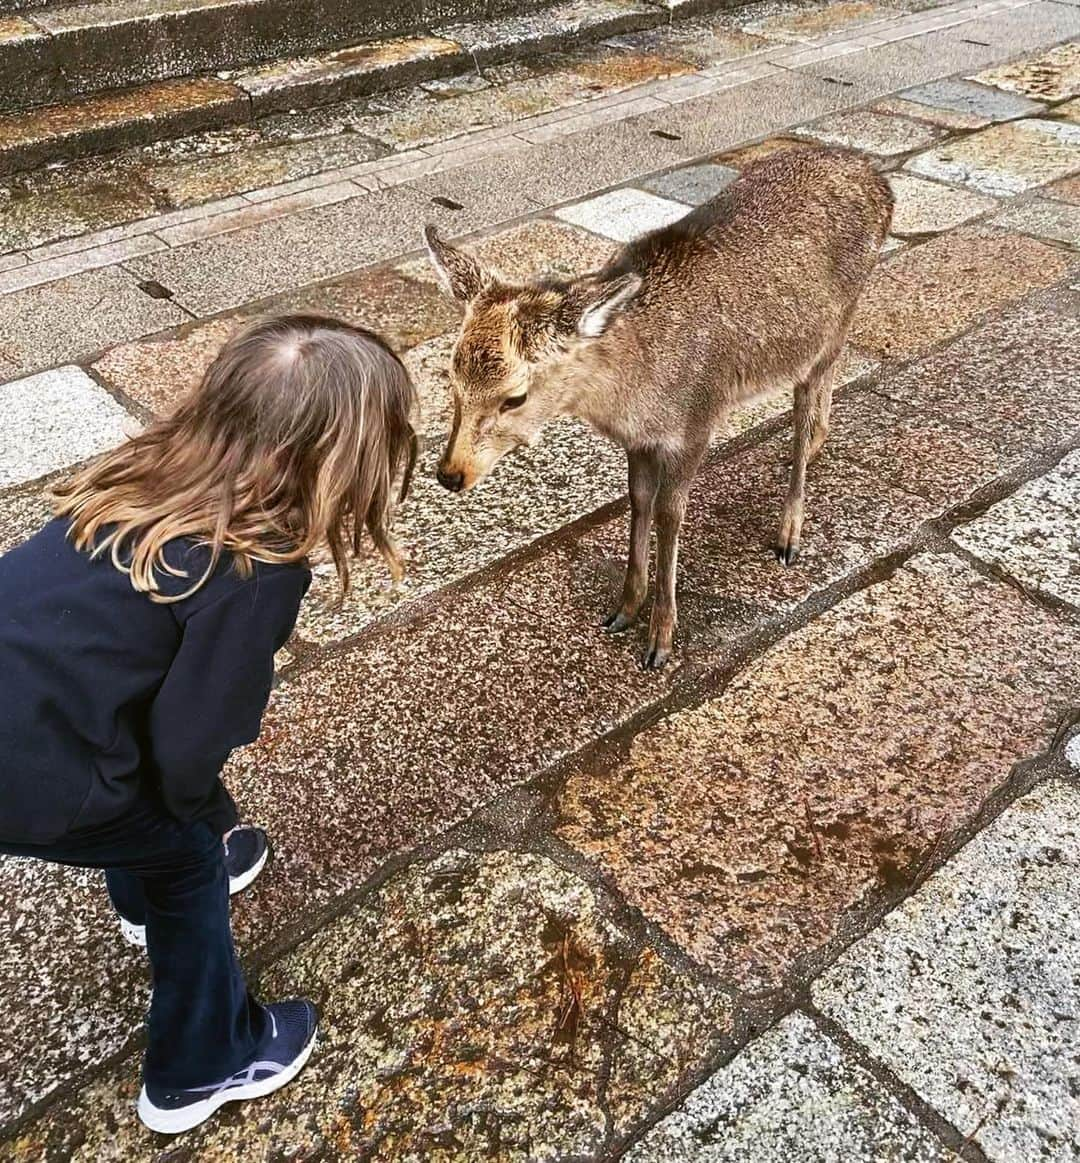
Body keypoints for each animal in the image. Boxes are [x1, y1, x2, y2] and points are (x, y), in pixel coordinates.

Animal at [425, 147, 888, 674]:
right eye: (450, 375)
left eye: (515, 396)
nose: (450, 473)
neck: (634, 391)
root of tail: (880, 181)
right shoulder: (640, 440)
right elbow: (639, 500)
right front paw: (624, 609)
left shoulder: (697, 421)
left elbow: (671, 514)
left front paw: (660, 640)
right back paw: (812, 448)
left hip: (838, 320)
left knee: (805, 402)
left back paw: (789, 531)